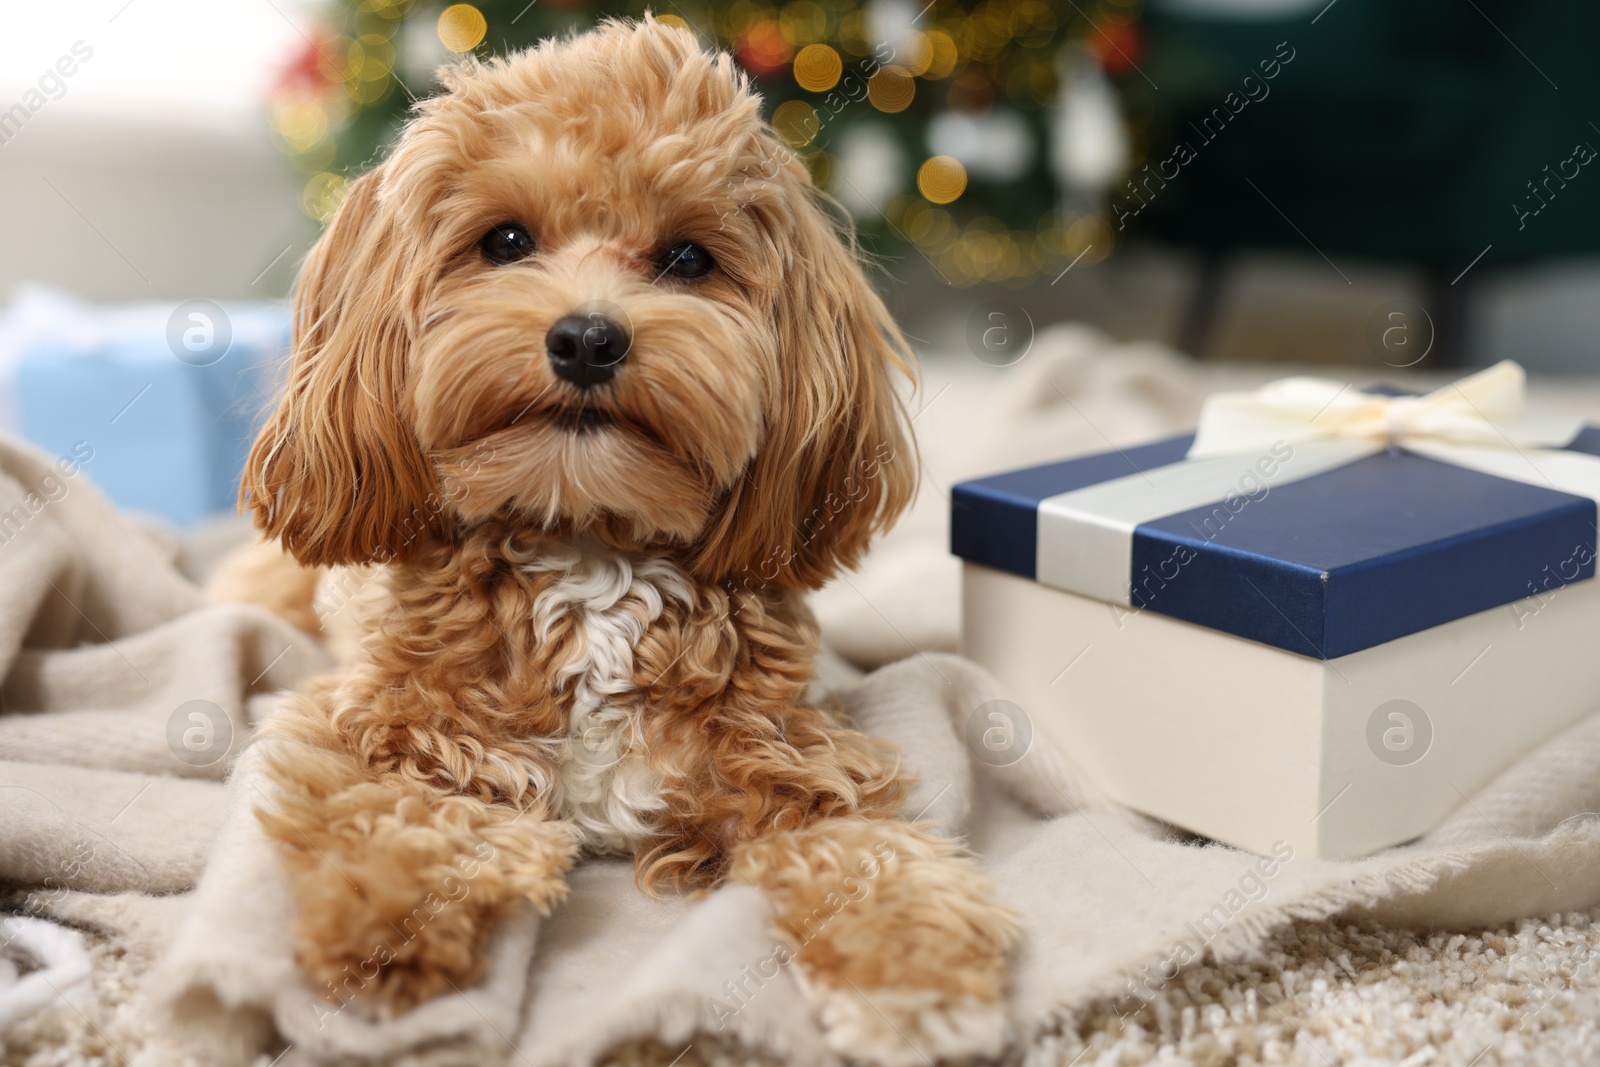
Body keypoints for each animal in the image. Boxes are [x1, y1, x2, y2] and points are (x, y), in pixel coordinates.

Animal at [236, 18, 1011, 1067]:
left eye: (686, 258)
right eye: (506, 241)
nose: (588, 339)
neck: (587, 543)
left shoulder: (793, 756)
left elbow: (870, 853)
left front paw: (916, 972)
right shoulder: (379, 728)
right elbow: (390, 816)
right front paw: (381, 924)